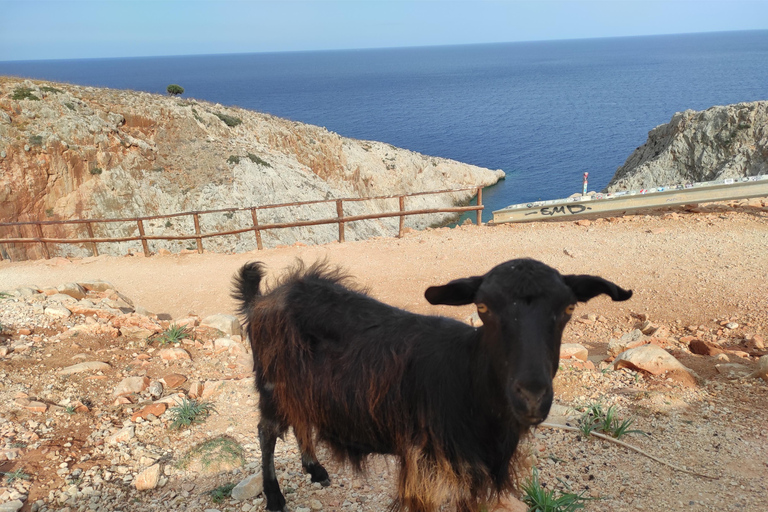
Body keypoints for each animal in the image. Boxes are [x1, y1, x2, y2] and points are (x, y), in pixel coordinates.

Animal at [232, 260, 632, 512]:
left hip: (300, 386)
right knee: (266, 431)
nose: (532, 396)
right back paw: (275, 498)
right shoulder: (424, 466)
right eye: (482, 307)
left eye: (568, 309)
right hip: (271, 383)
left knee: (301, 419)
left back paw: (315, 469)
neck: (466, 378)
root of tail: (263, 299)